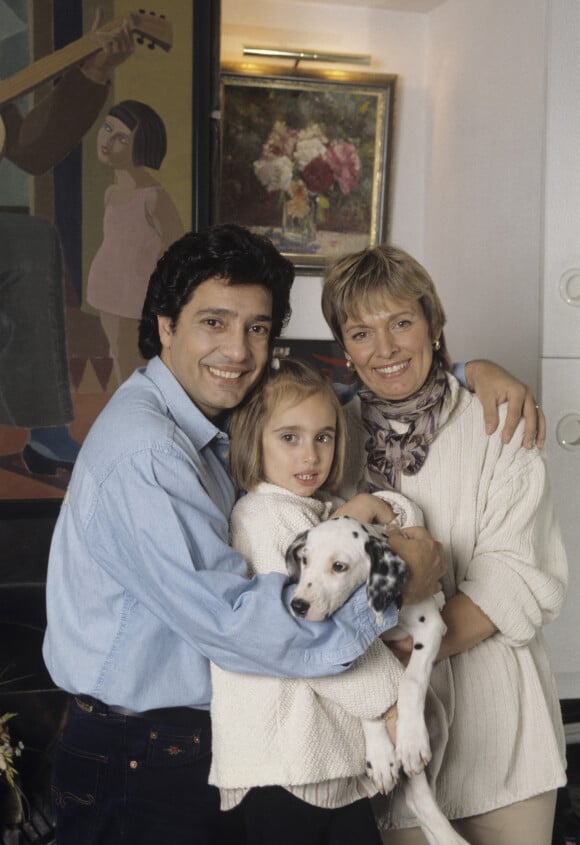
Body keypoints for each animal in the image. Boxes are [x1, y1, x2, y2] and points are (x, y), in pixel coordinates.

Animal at [286, 516, 472, 844]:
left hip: (437, 724)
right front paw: (381, 755)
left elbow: (410, 682)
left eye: (339, 566)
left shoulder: (430, 628)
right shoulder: (364, 646)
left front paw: (410, 740)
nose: (298, 605)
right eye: (305, 559)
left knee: (421, 795)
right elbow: (368, 699)